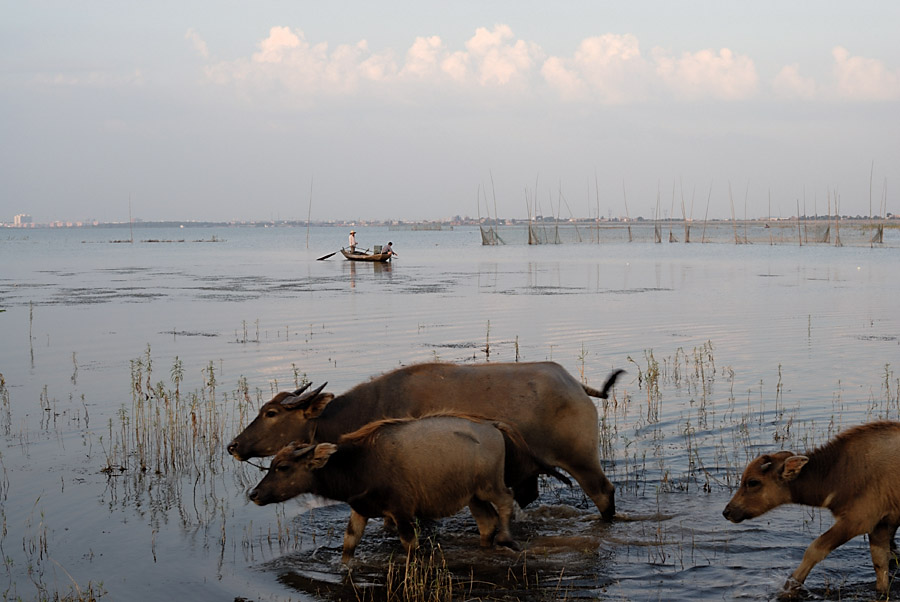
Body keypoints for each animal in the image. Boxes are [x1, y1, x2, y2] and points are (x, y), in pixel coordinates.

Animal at [246, 412, 552, 556]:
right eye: (271, 464)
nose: (254, 494)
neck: (360, 463)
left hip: (490, 486)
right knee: (486, 522)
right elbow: (349, 544)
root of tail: (493, 426)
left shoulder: (402, 513)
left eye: (283, 467)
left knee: (506, 500)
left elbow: (410, 547)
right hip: (472, 496)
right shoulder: (360, 510)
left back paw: (506, 538)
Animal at [720, 420, 900, 596]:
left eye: (753, 482)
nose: (727, 511)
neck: (839, 474)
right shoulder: (879, 525)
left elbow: (814, 550)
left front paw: (790, 587)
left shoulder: (857, 521)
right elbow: (880, 563)